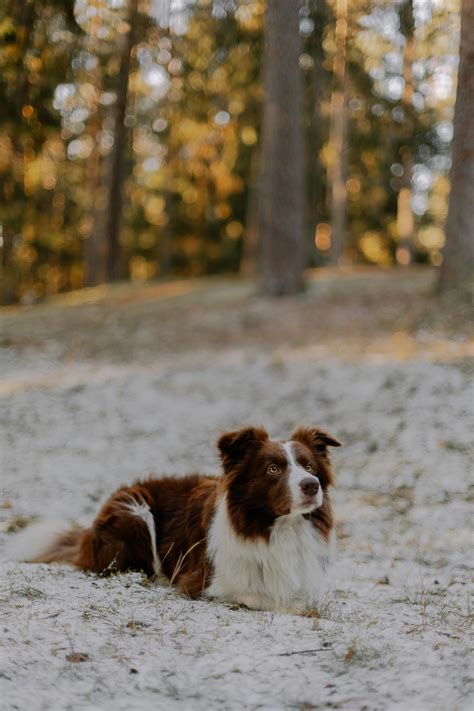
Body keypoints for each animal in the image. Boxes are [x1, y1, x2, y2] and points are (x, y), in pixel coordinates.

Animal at [16, 426, 340, 616]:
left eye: (309, 466)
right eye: (273, 468)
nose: (312, 485)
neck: (277, 529)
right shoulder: (206, 582)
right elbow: (264, 597)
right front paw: (299, 607)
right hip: (134, 509)